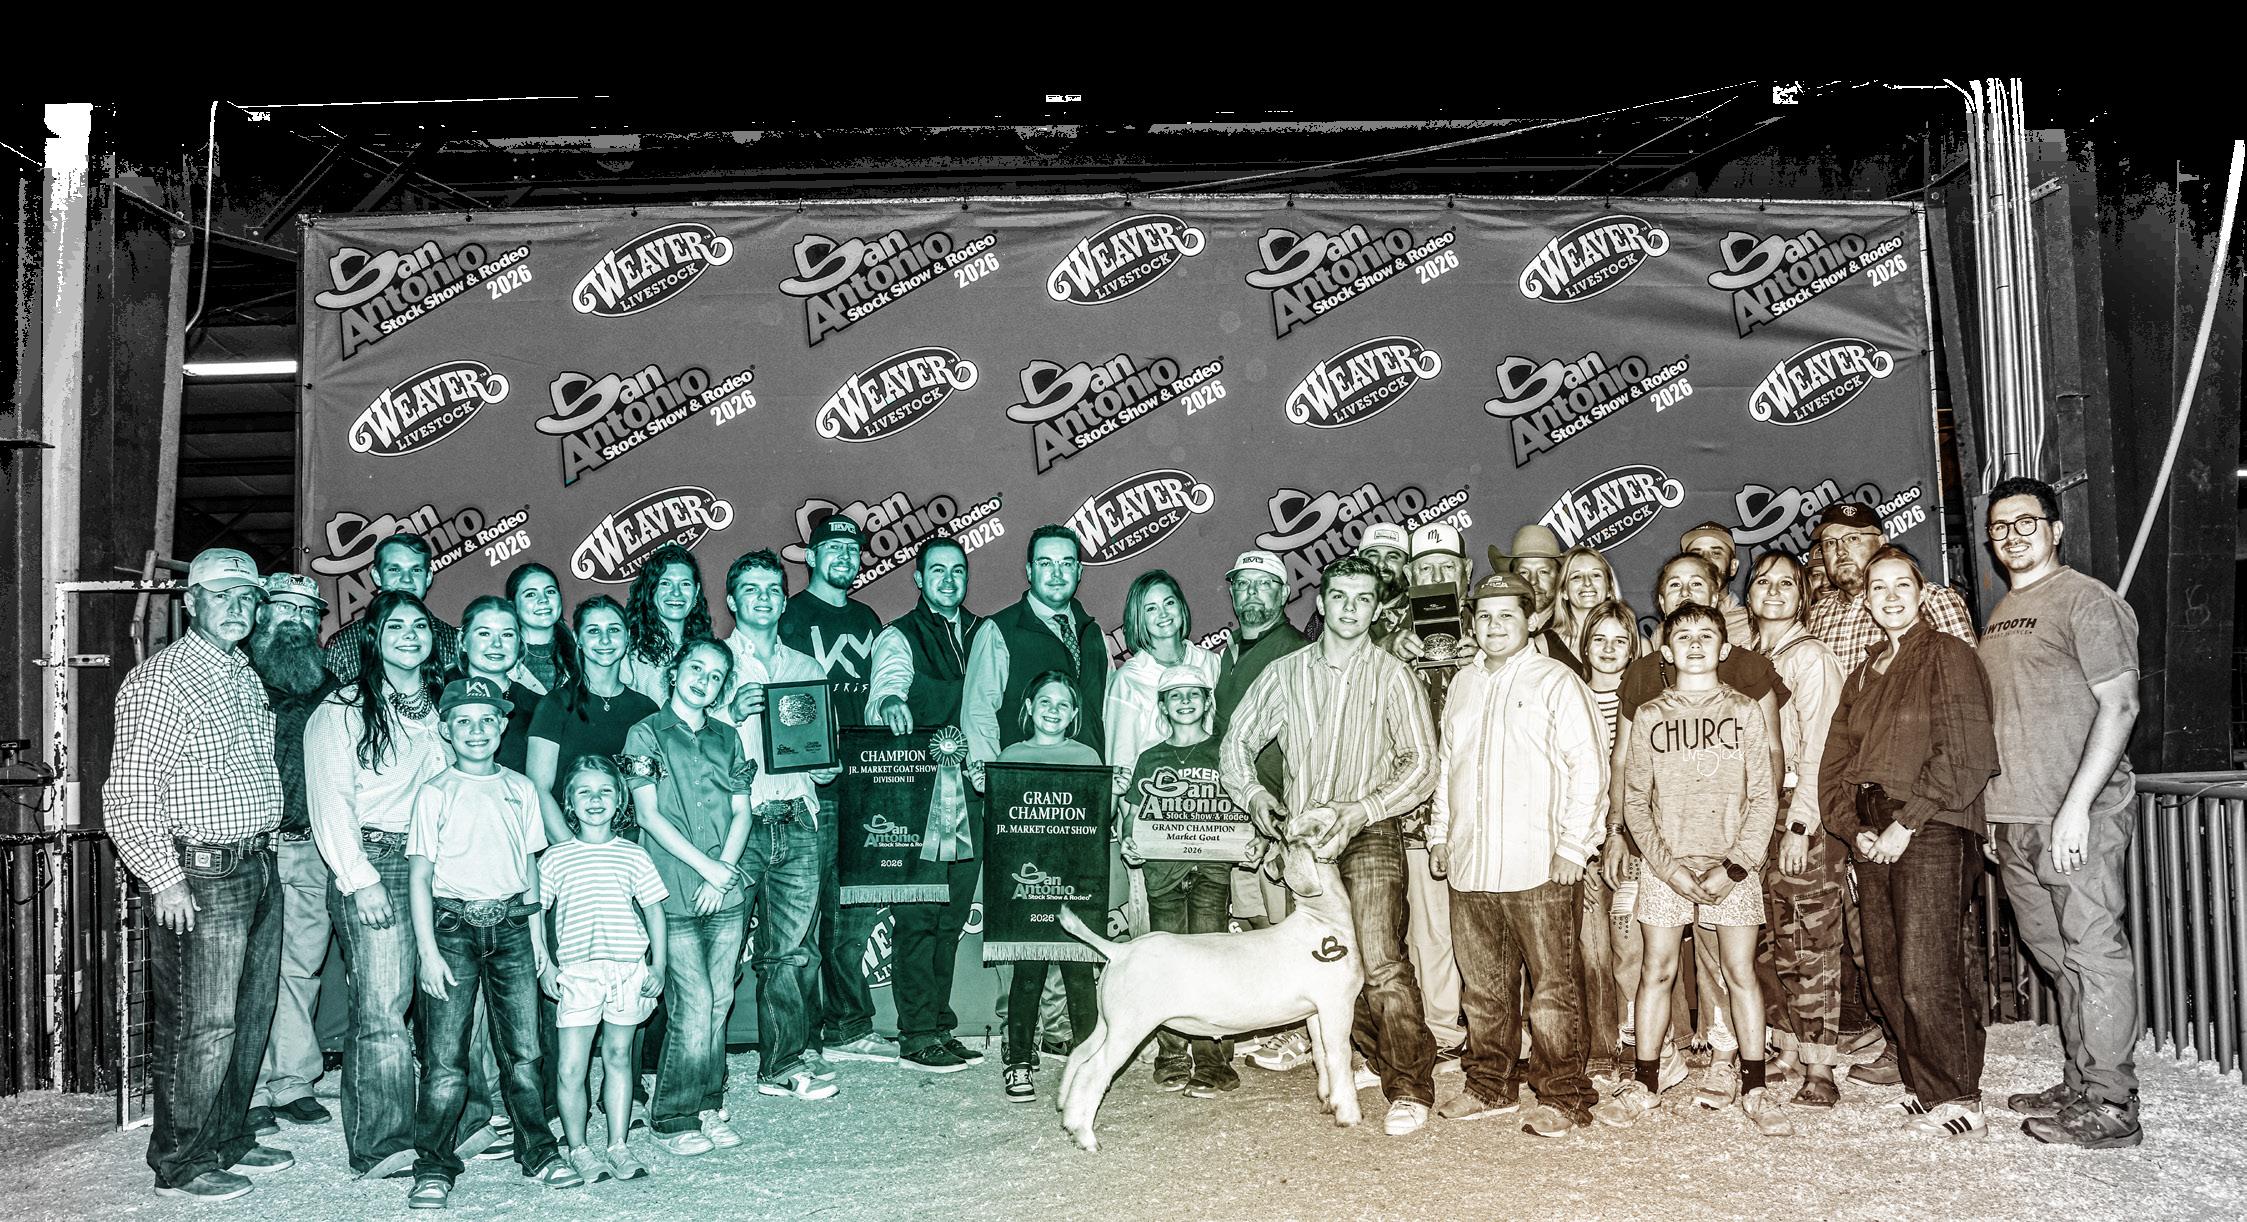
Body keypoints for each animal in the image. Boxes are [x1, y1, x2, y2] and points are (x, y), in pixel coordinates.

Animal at [1054, 836, 1362, 1152]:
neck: (1321, 921)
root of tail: (1119, 950)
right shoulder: (1338, 1003)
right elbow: (1339, 1056)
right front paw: (1348, 1115)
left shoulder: (1315, 1011)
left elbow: (1321, 1055)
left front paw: (1326, 1100)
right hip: (1130, 1025)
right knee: (1093, 1069)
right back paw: (1085, 1137)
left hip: (1109, 1021)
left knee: (1079, 1054)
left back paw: (1066, 1113)